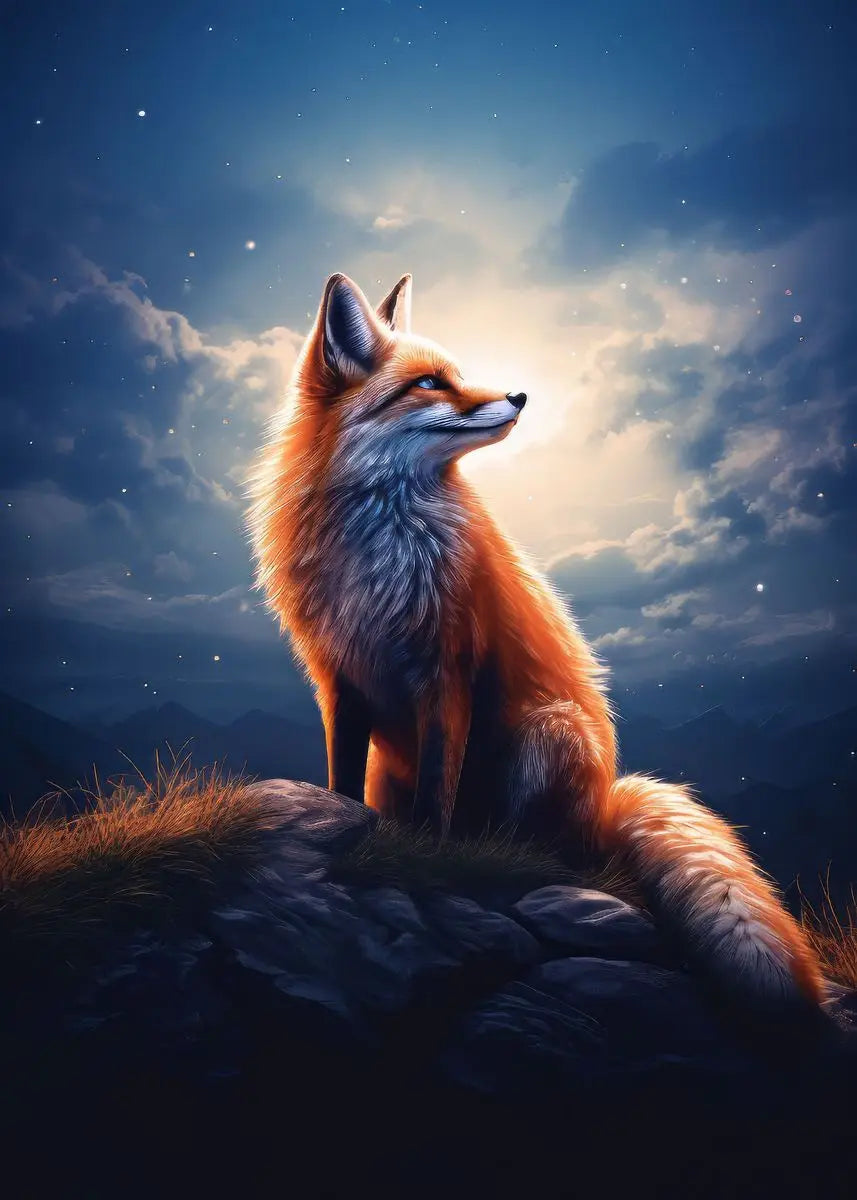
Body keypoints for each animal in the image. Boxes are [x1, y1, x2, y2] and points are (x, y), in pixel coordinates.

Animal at [248, 271, 824, 1015]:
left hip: (548, 734)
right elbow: (342, 781)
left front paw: (429, 859)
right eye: (429, 384)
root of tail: (608, 804)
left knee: (546, 854)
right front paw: (347, 832)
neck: (378, 552)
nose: (520, 396)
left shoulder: (448, 671)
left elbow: (438, 794)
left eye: (459, 374)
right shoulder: (339, 678)